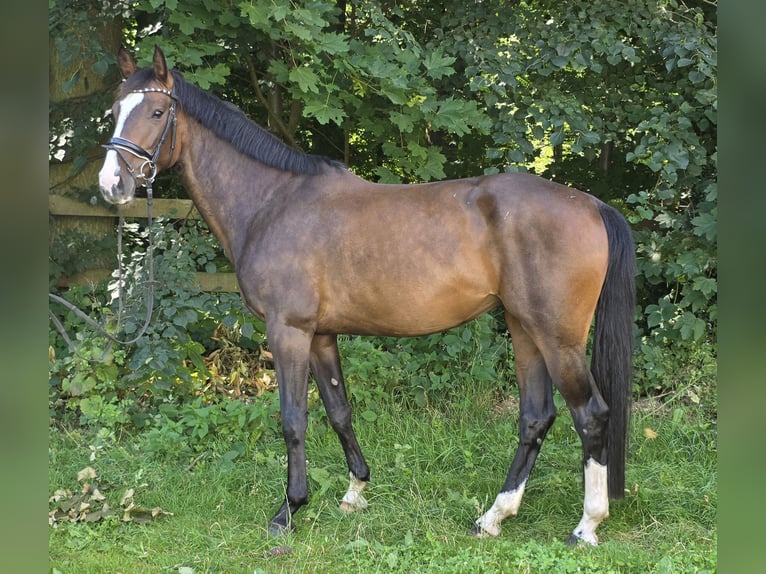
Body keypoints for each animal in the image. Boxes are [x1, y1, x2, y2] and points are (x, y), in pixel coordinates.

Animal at [98, 46, 635, 545]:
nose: (112, 184)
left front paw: (288, 511)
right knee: (536, 418)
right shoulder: (320, 335)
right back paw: (493, 517)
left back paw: (587, 524)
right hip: (525, 330)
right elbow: (339, 411)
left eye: (157, 112)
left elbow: (293, 419)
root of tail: (591, 204)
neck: (272, 203)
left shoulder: (288, 330)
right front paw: (355, 491)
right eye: (115, 109)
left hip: (557, 338)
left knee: (591, 415)